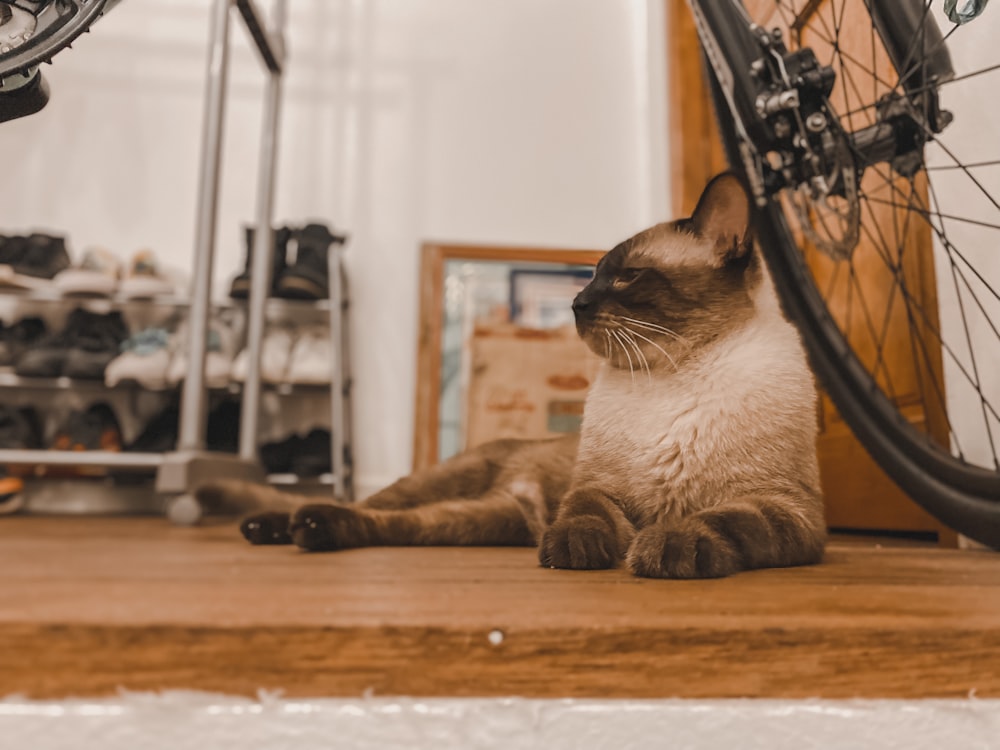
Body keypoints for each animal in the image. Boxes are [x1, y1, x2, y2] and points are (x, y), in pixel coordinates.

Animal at [199, 176, 824, 580]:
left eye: (626, 278)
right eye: (592, 276)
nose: (575, 303)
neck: (673, 372)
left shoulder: (785, 511)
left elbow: (720, 519)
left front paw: (667, 546)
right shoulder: (596, 489)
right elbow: (585, 514)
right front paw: (578, 549)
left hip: (482, 520)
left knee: (384, 522)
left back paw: (310, 529)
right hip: (453, 490)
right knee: (371, 503)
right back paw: (274, 526)